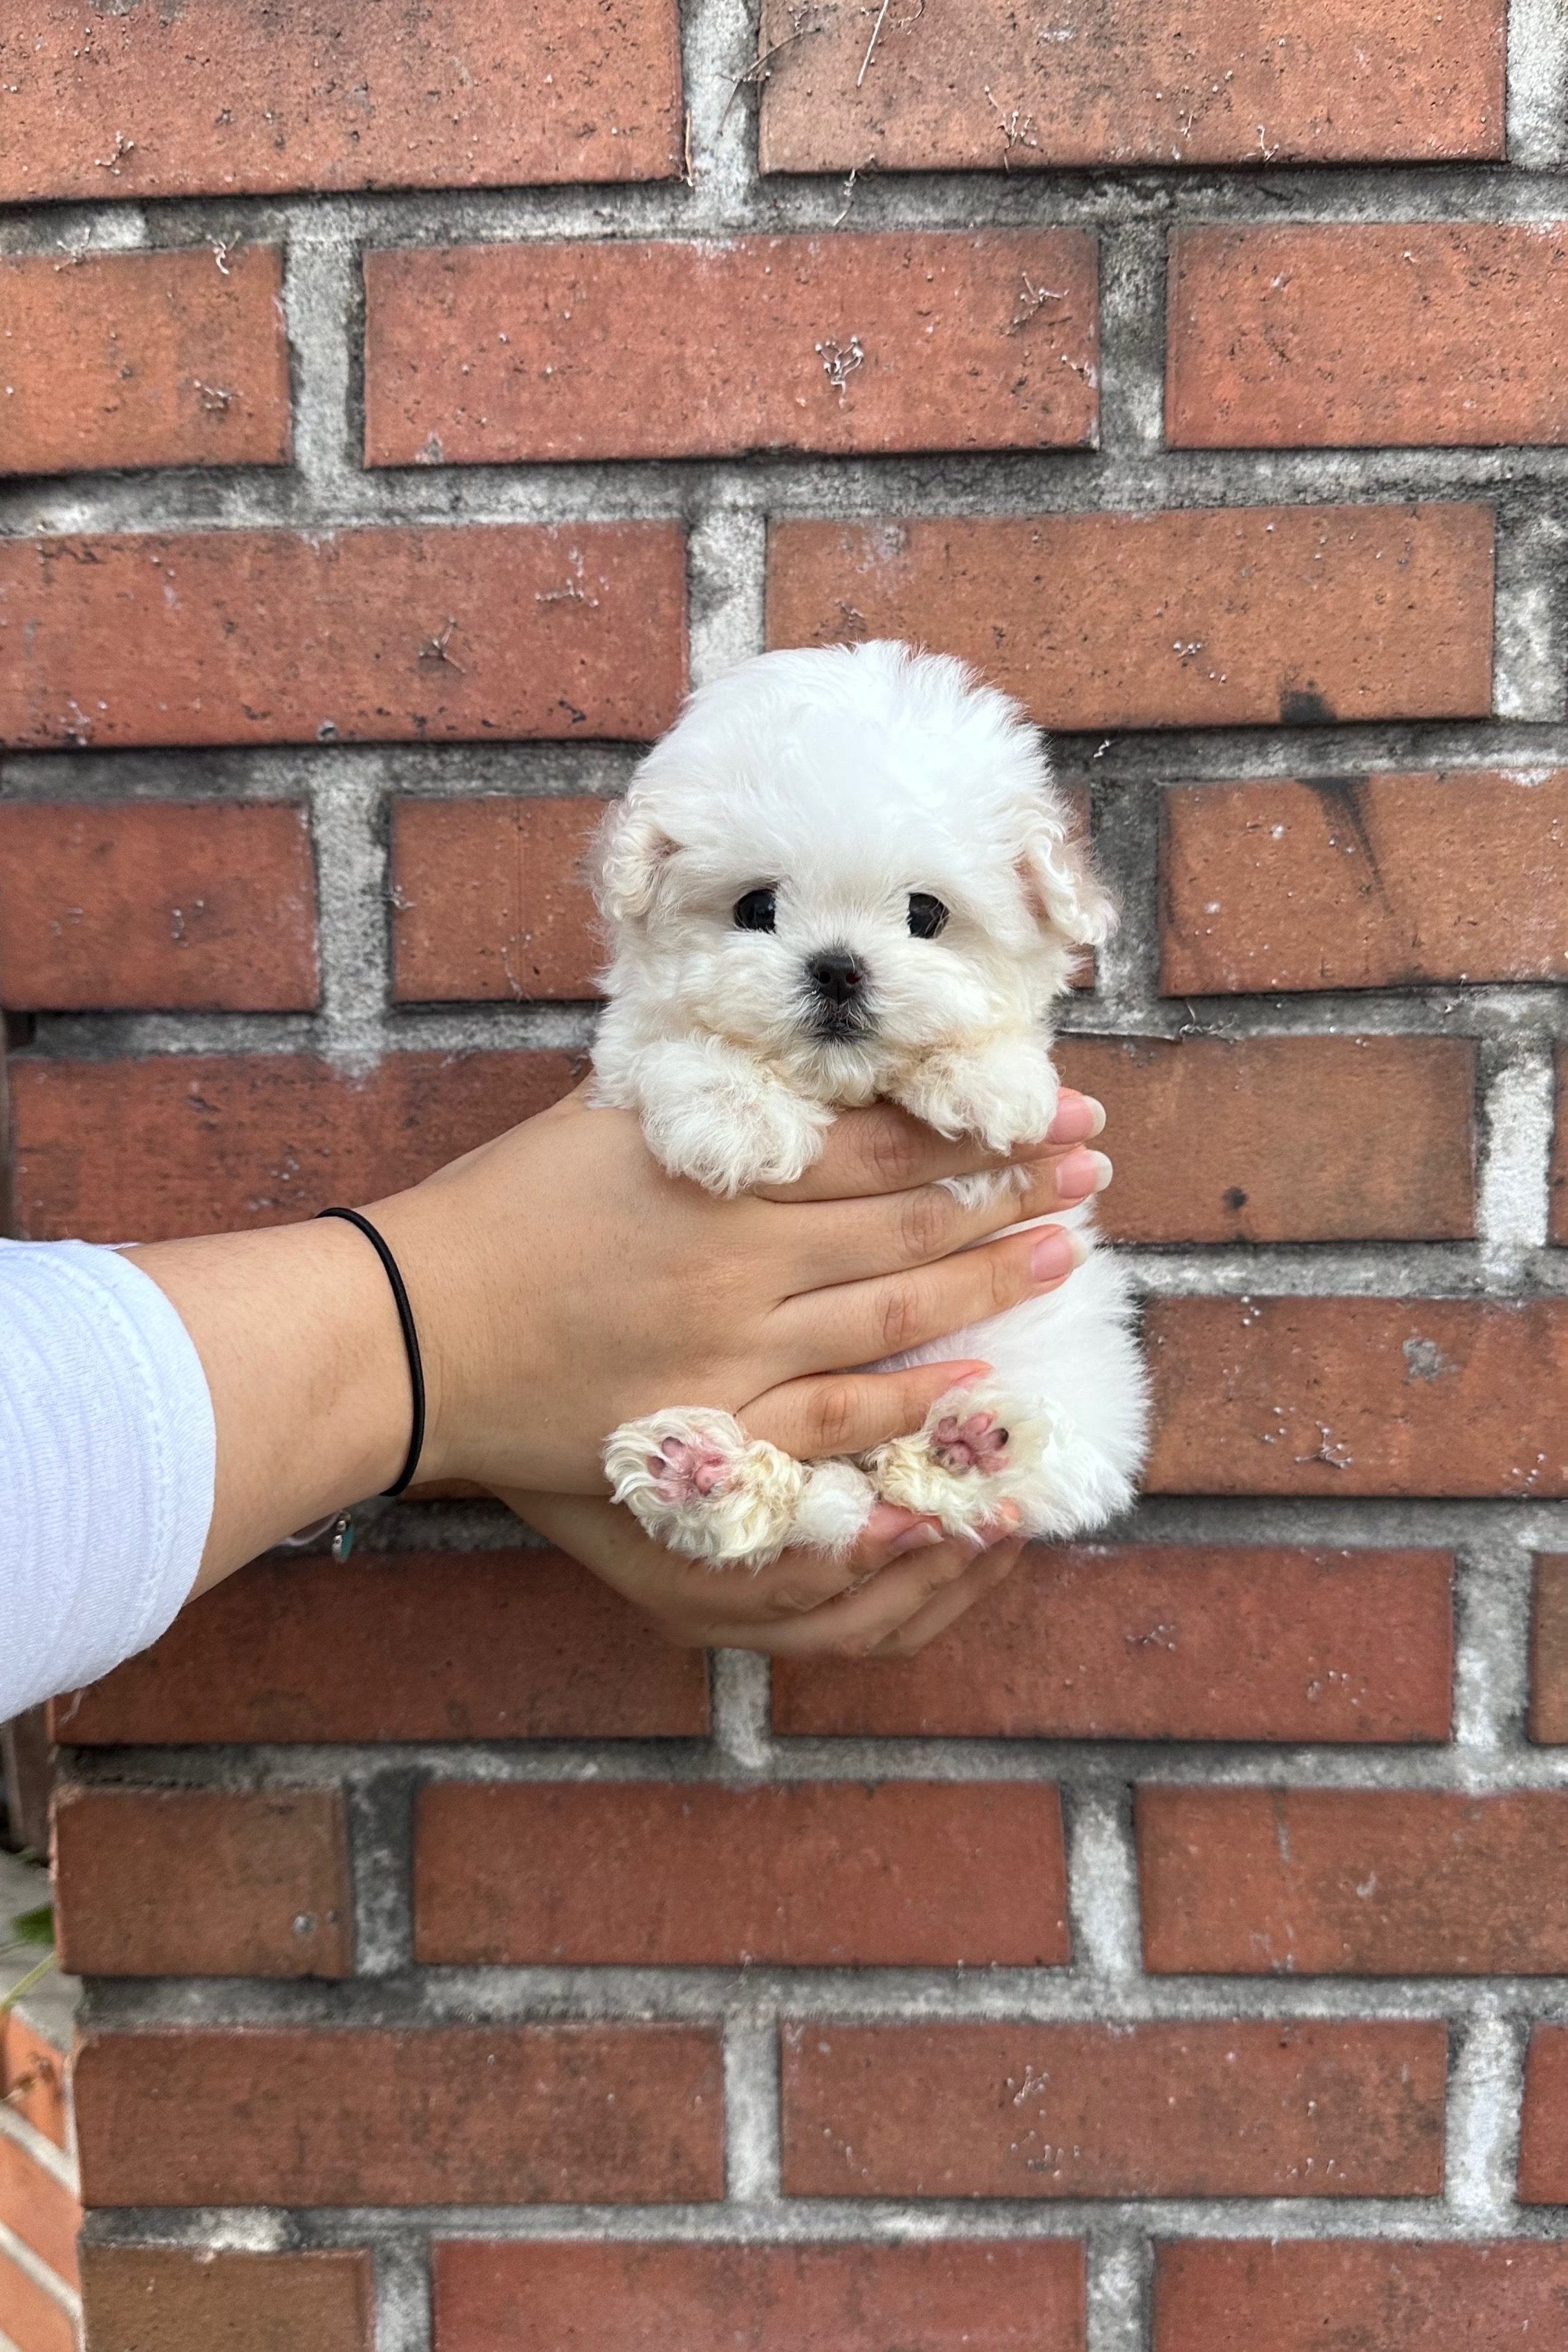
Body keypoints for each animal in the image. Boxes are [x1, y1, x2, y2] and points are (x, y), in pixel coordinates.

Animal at [595, 635, 1147, 1571]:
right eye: (756, 906)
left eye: (926, 914)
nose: (837, 967)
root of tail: (853, 1478)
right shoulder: (629, 1049)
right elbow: (672, 1046)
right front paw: (735, 1115)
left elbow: (1003, 1047)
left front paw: (983, 1078)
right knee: (784, 1503)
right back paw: (702, 1472)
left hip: (1069, 1366)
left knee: (1046, 1471)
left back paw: (973, 1445)